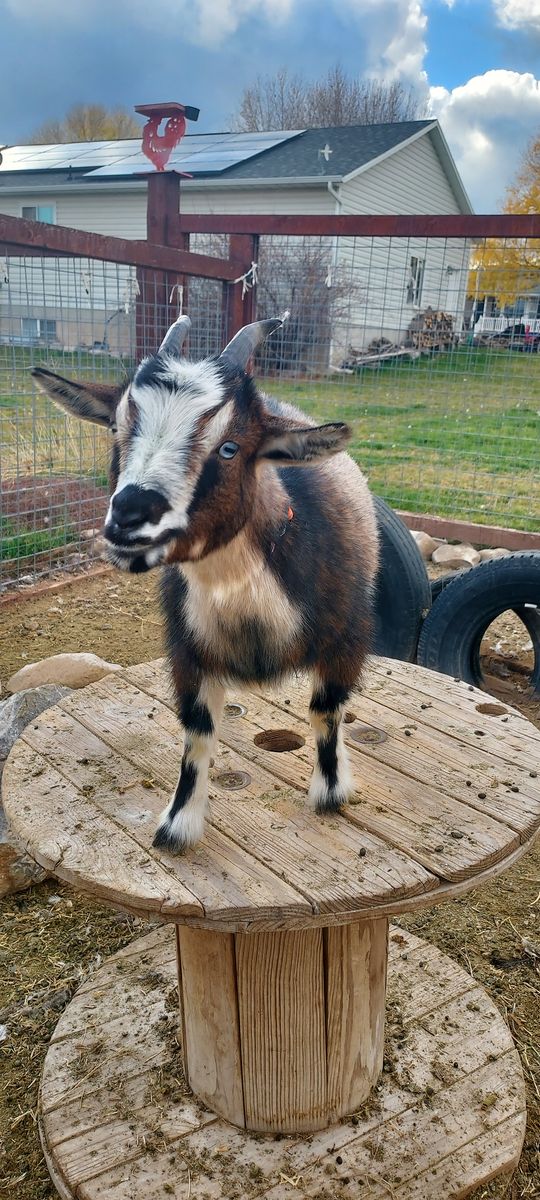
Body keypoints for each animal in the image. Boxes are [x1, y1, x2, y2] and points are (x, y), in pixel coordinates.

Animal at [32, 314, 379, 851]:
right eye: (116, 428)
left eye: (230, 447)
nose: (128, 520)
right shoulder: (188, 649)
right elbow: (197, 732)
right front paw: (178, 824)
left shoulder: (347, 638)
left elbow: (325, 710)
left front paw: (331, 791)